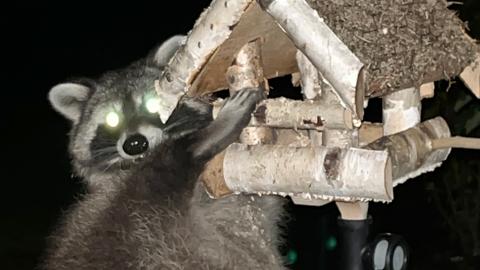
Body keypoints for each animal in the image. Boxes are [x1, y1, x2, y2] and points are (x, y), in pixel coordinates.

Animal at [43, 36, 286, 270]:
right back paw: (206, 138)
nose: (135, 144)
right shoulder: (113, 198)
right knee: (164, 171)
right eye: (112, 120)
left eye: (152, 105)